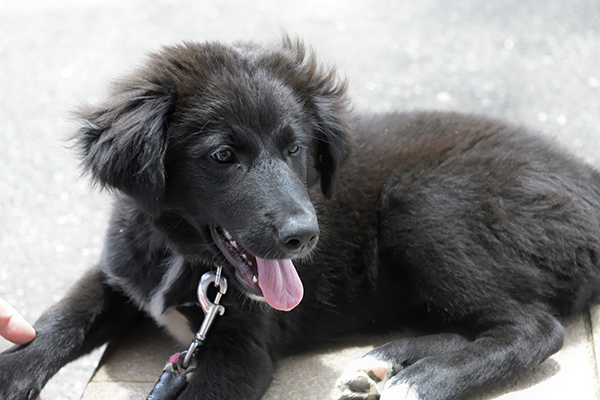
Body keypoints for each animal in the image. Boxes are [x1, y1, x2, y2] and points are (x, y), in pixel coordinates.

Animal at [1, 36, 600, 398]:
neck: (184, 256)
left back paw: (423, 380)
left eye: (296, 150)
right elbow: (60, 319)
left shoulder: (242, 352)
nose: (303, 236)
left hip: (426, 204)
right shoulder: (120, 273)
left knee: (533, 327)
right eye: (223, 155)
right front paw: (12, 370)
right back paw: (388, 360)